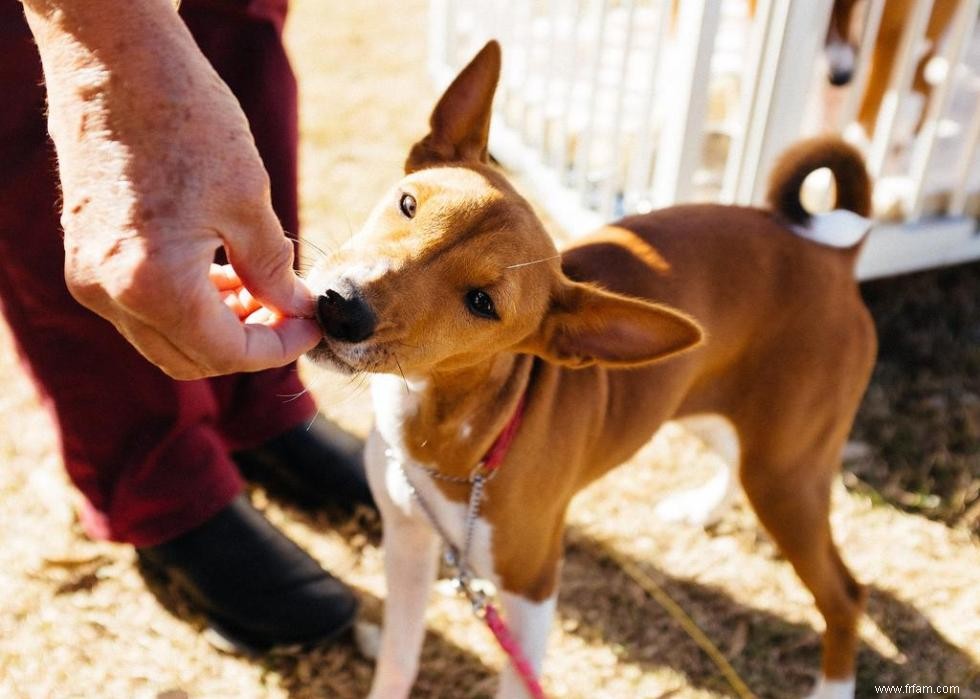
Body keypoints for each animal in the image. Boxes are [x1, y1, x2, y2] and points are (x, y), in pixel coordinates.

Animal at [308, 43, 880, 699]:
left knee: (846, 594)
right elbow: (399, 659)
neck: (445, 430)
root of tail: (831, 256)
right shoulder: (407, 541)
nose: (341, 305)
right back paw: (703, 508)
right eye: (408, 204)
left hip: (788, 472)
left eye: (482, 303)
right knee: (735, 457)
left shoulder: (531, 588)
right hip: (731, 417)